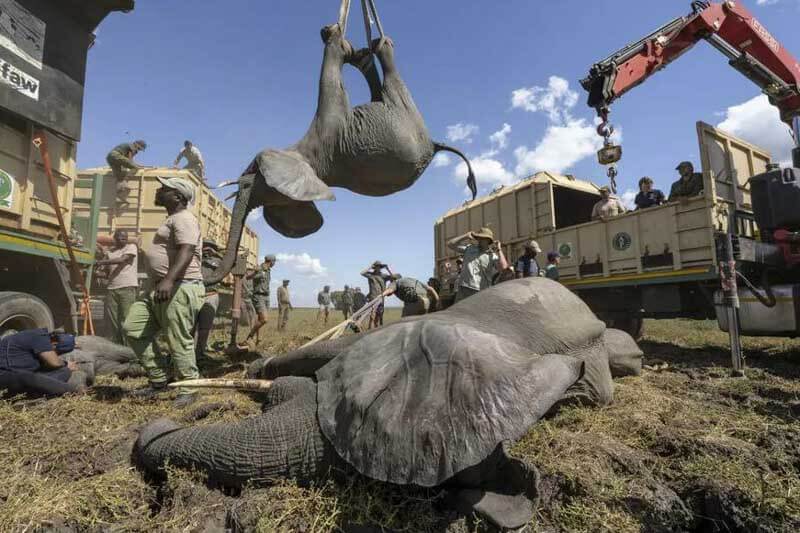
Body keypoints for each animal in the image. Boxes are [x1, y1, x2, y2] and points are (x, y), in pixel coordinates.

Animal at [207, 4, 476, 284]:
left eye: (247, 182)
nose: (210, 263)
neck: (307, 158)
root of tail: (434, 145)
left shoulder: (330, 123)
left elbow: (329, 81)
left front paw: (335, 37)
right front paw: (347, 46)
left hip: (406, 109)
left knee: (387, 75)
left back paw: (376, 45)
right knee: (380, 87)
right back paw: (366, 53)